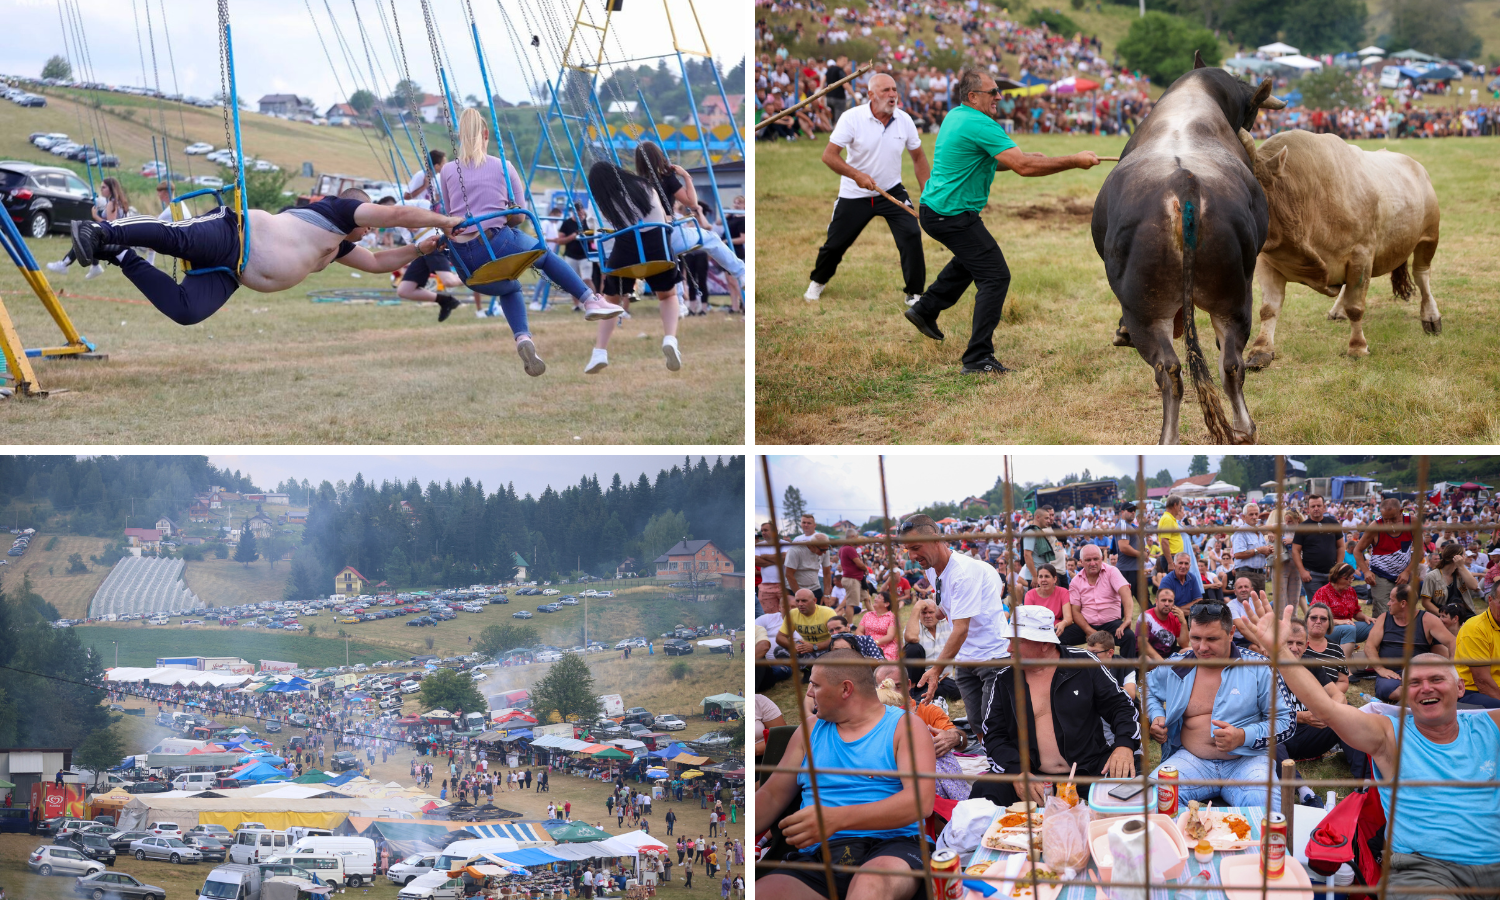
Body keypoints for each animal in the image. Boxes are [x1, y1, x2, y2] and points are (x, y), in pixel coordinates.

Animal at [1092, 54, 1290, 444]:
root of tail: (1185, 185)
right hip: (1233, 296)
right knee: (1231, 364)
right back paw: (1243, 430)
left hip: (1146, 308)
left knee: (1168, 370)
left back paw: (1169, 437)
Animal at [1230, 127, 1440, 366]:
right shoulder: (1267, 261)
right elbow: (1269, 308)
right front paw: (1261, 350)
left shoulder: (1361, 254)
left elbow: (1355, 306)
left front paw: (1357, 347)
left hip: (1429, 236)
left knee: (1422, 275)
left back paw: (1431, 316)